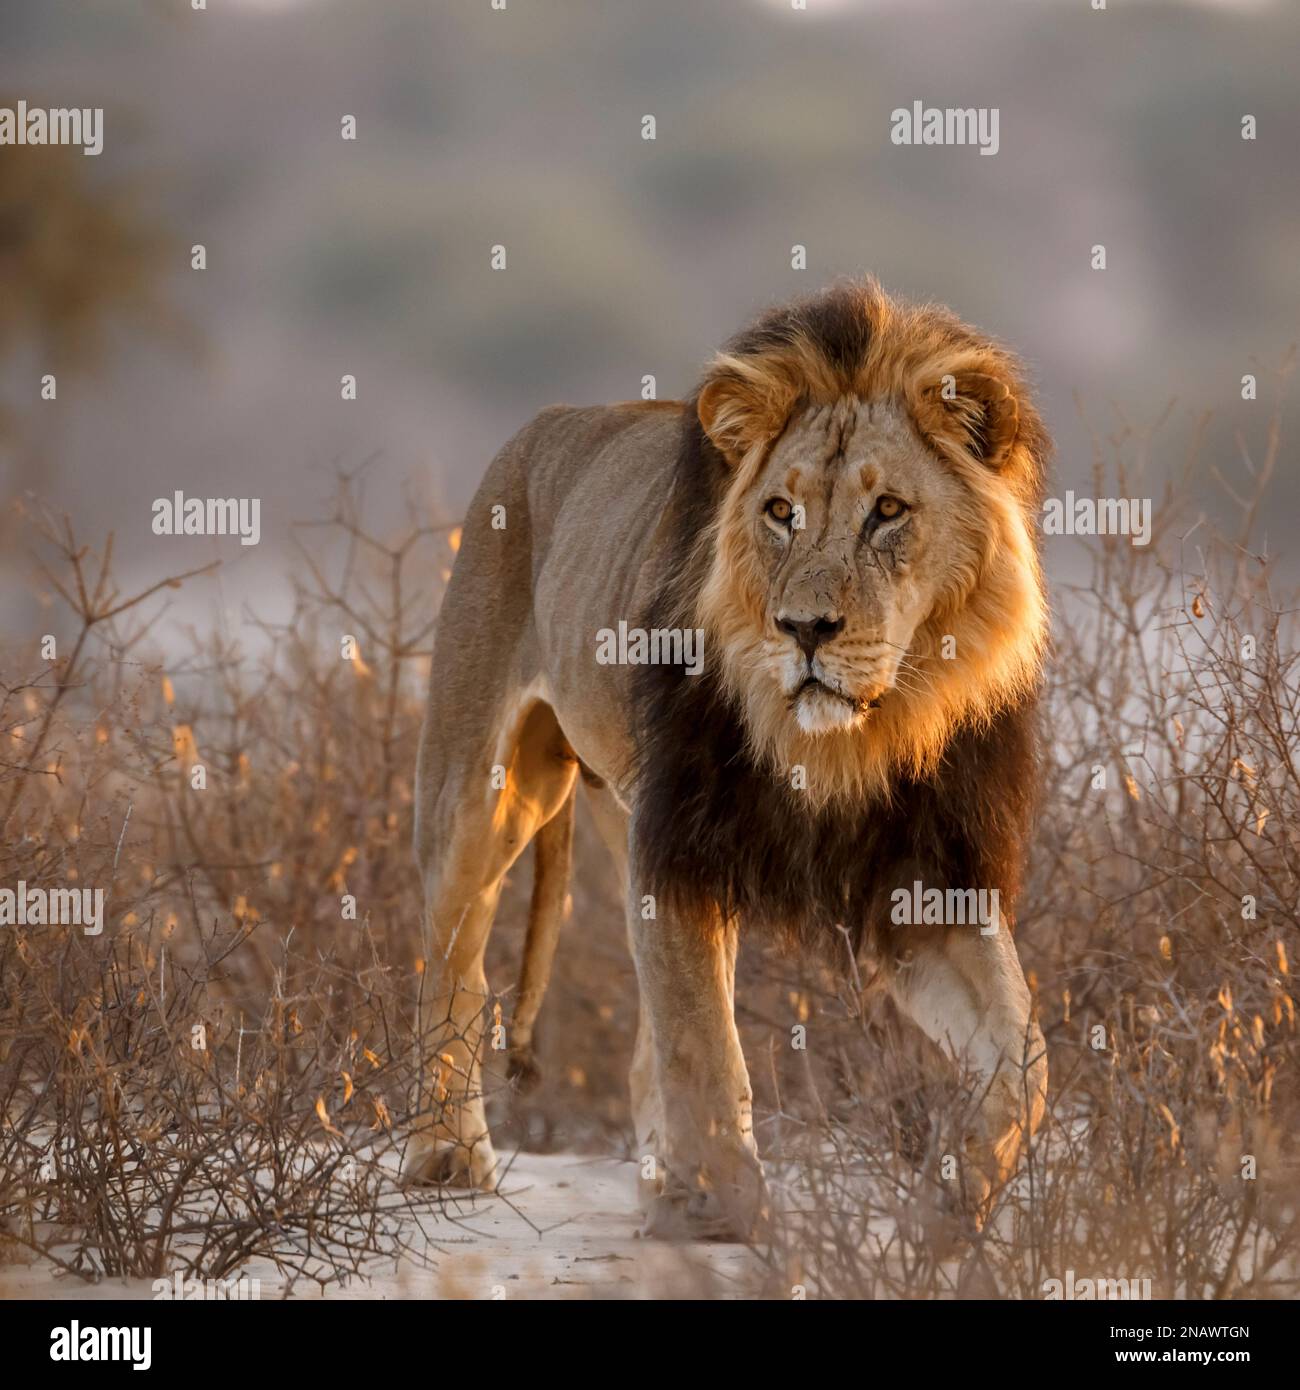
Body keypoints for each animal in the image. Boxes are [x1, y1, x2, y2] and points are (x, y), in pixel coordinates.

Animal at [402, 278, 1050, 1240]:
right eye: (781, 513)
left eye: (888, 512)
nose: (806, 628)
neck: (850, 739)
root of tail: (548, 420)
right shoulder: (680, 853)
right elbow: (705, 1048)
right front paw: (725, 1219)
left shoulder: (930, 883)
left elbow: (1023, 1054)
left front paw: (950, 1206)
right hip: (482, 791)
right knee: (451, 964)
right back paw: (445, 1156)